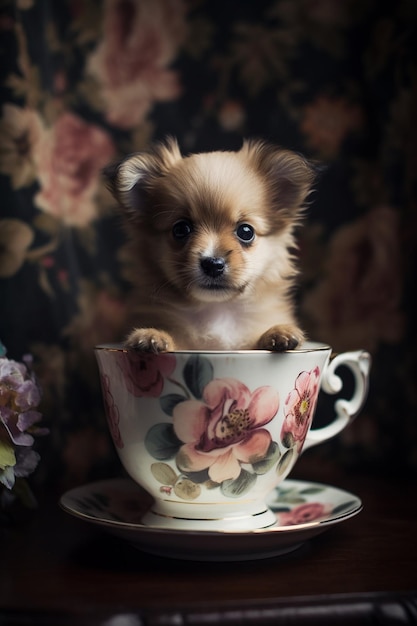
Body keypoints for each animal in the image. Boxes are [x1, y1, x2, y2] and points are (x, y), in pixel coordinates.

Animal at [104, 138, 312, 352]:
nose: (213, 264)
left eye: (246, 232)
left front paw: (279, 333)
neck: (216, 310)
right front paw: (151, 336)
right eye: (181, 229)